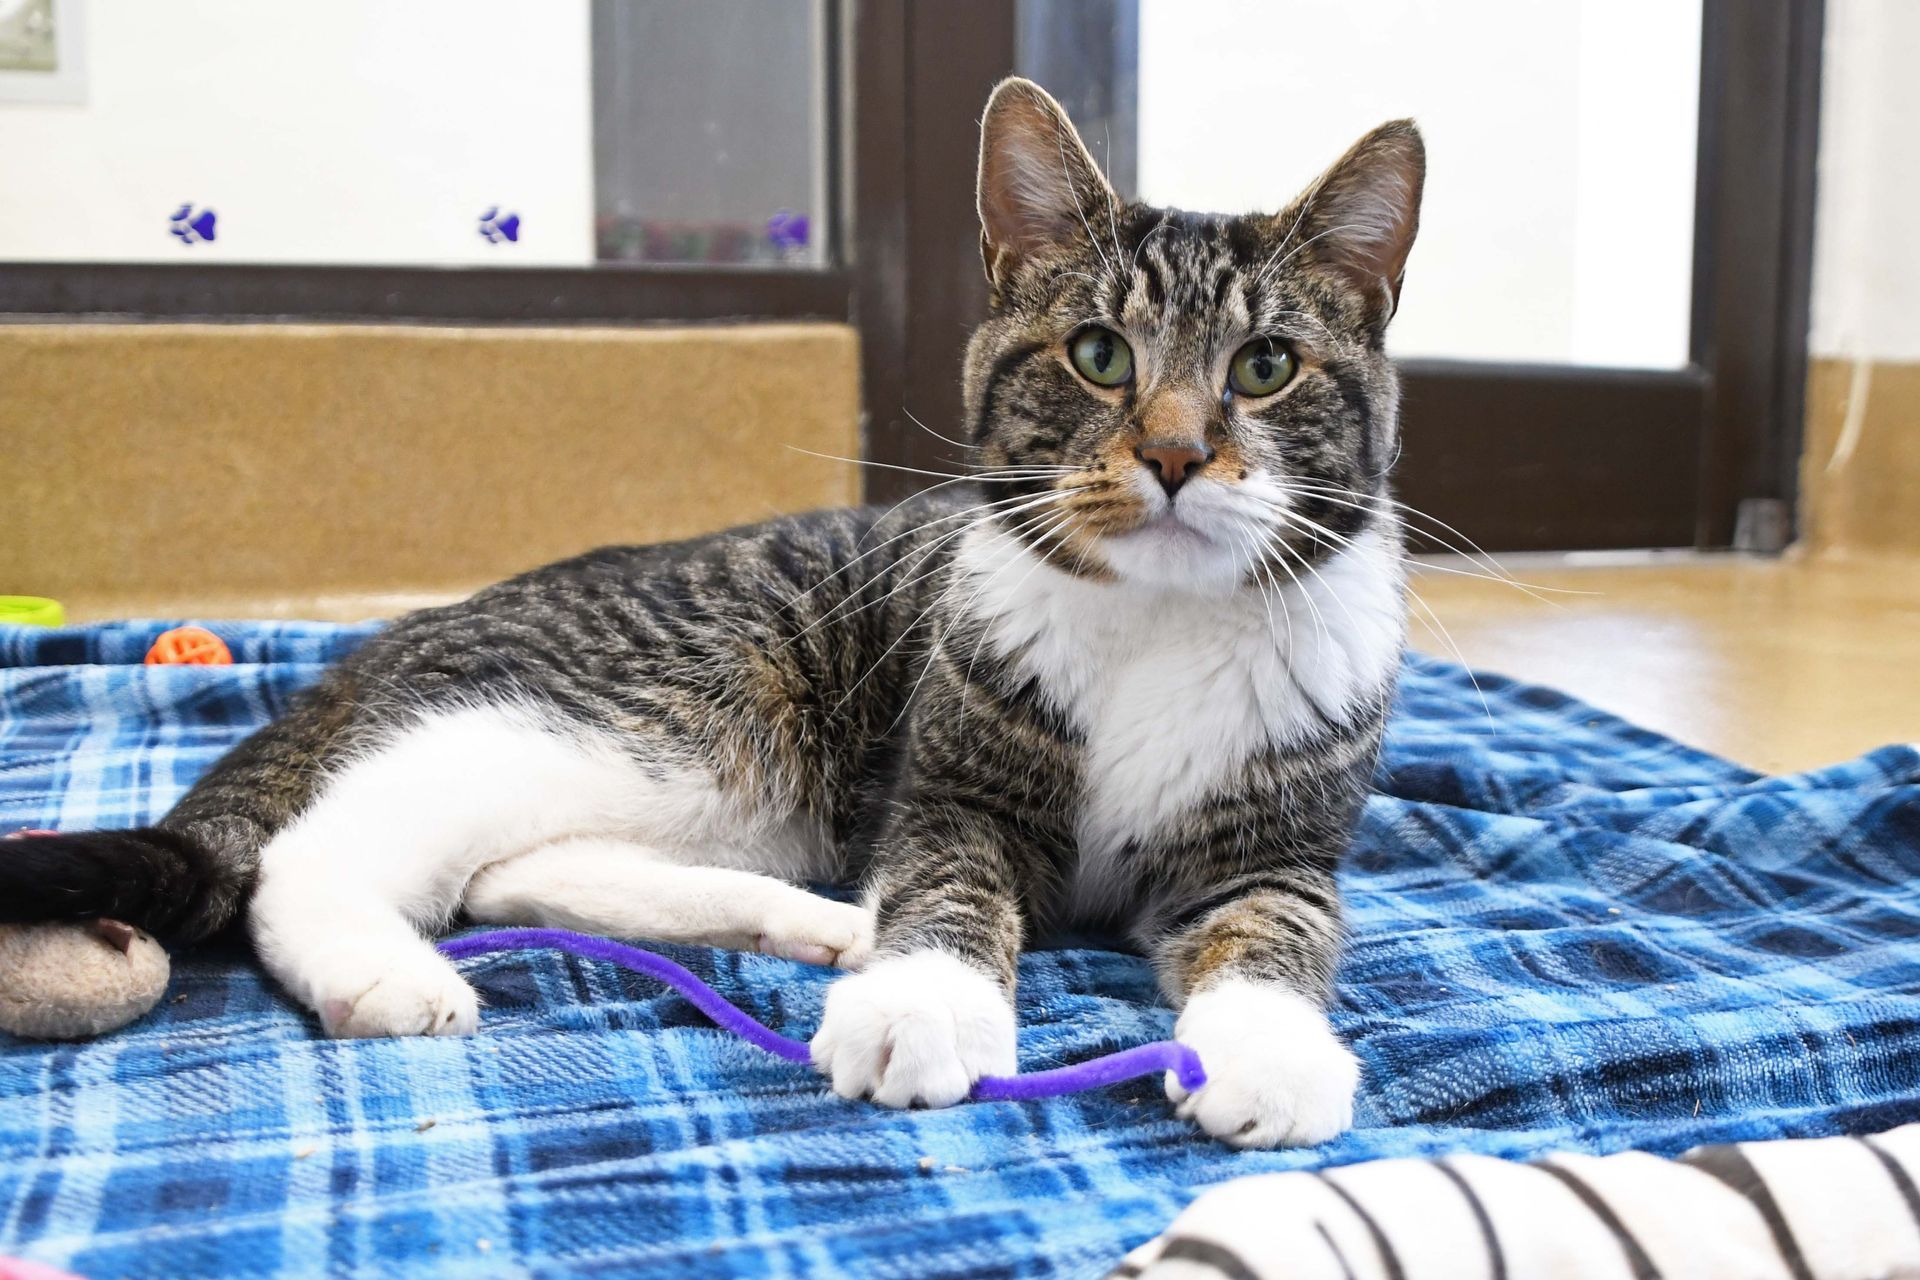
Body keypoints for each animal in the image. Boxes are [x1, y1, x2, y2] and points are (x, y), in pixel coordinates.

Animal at [0, 77, 1420, 1151]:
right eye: (1099, 356)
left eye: (1266, 368)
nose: (1176, 454)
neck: (1164, 619)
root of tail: (395, 636)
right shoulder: (950, 790)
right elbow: (946, 882)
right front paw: (926, 997)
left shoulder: (1278, 840)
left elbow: (1278, 926)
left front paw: (1271, 1049)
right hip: (674, 704)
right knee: (326, 848)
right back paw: (384, 969)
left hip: (728, 783)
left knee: (514, 868)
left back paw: (814, 921)